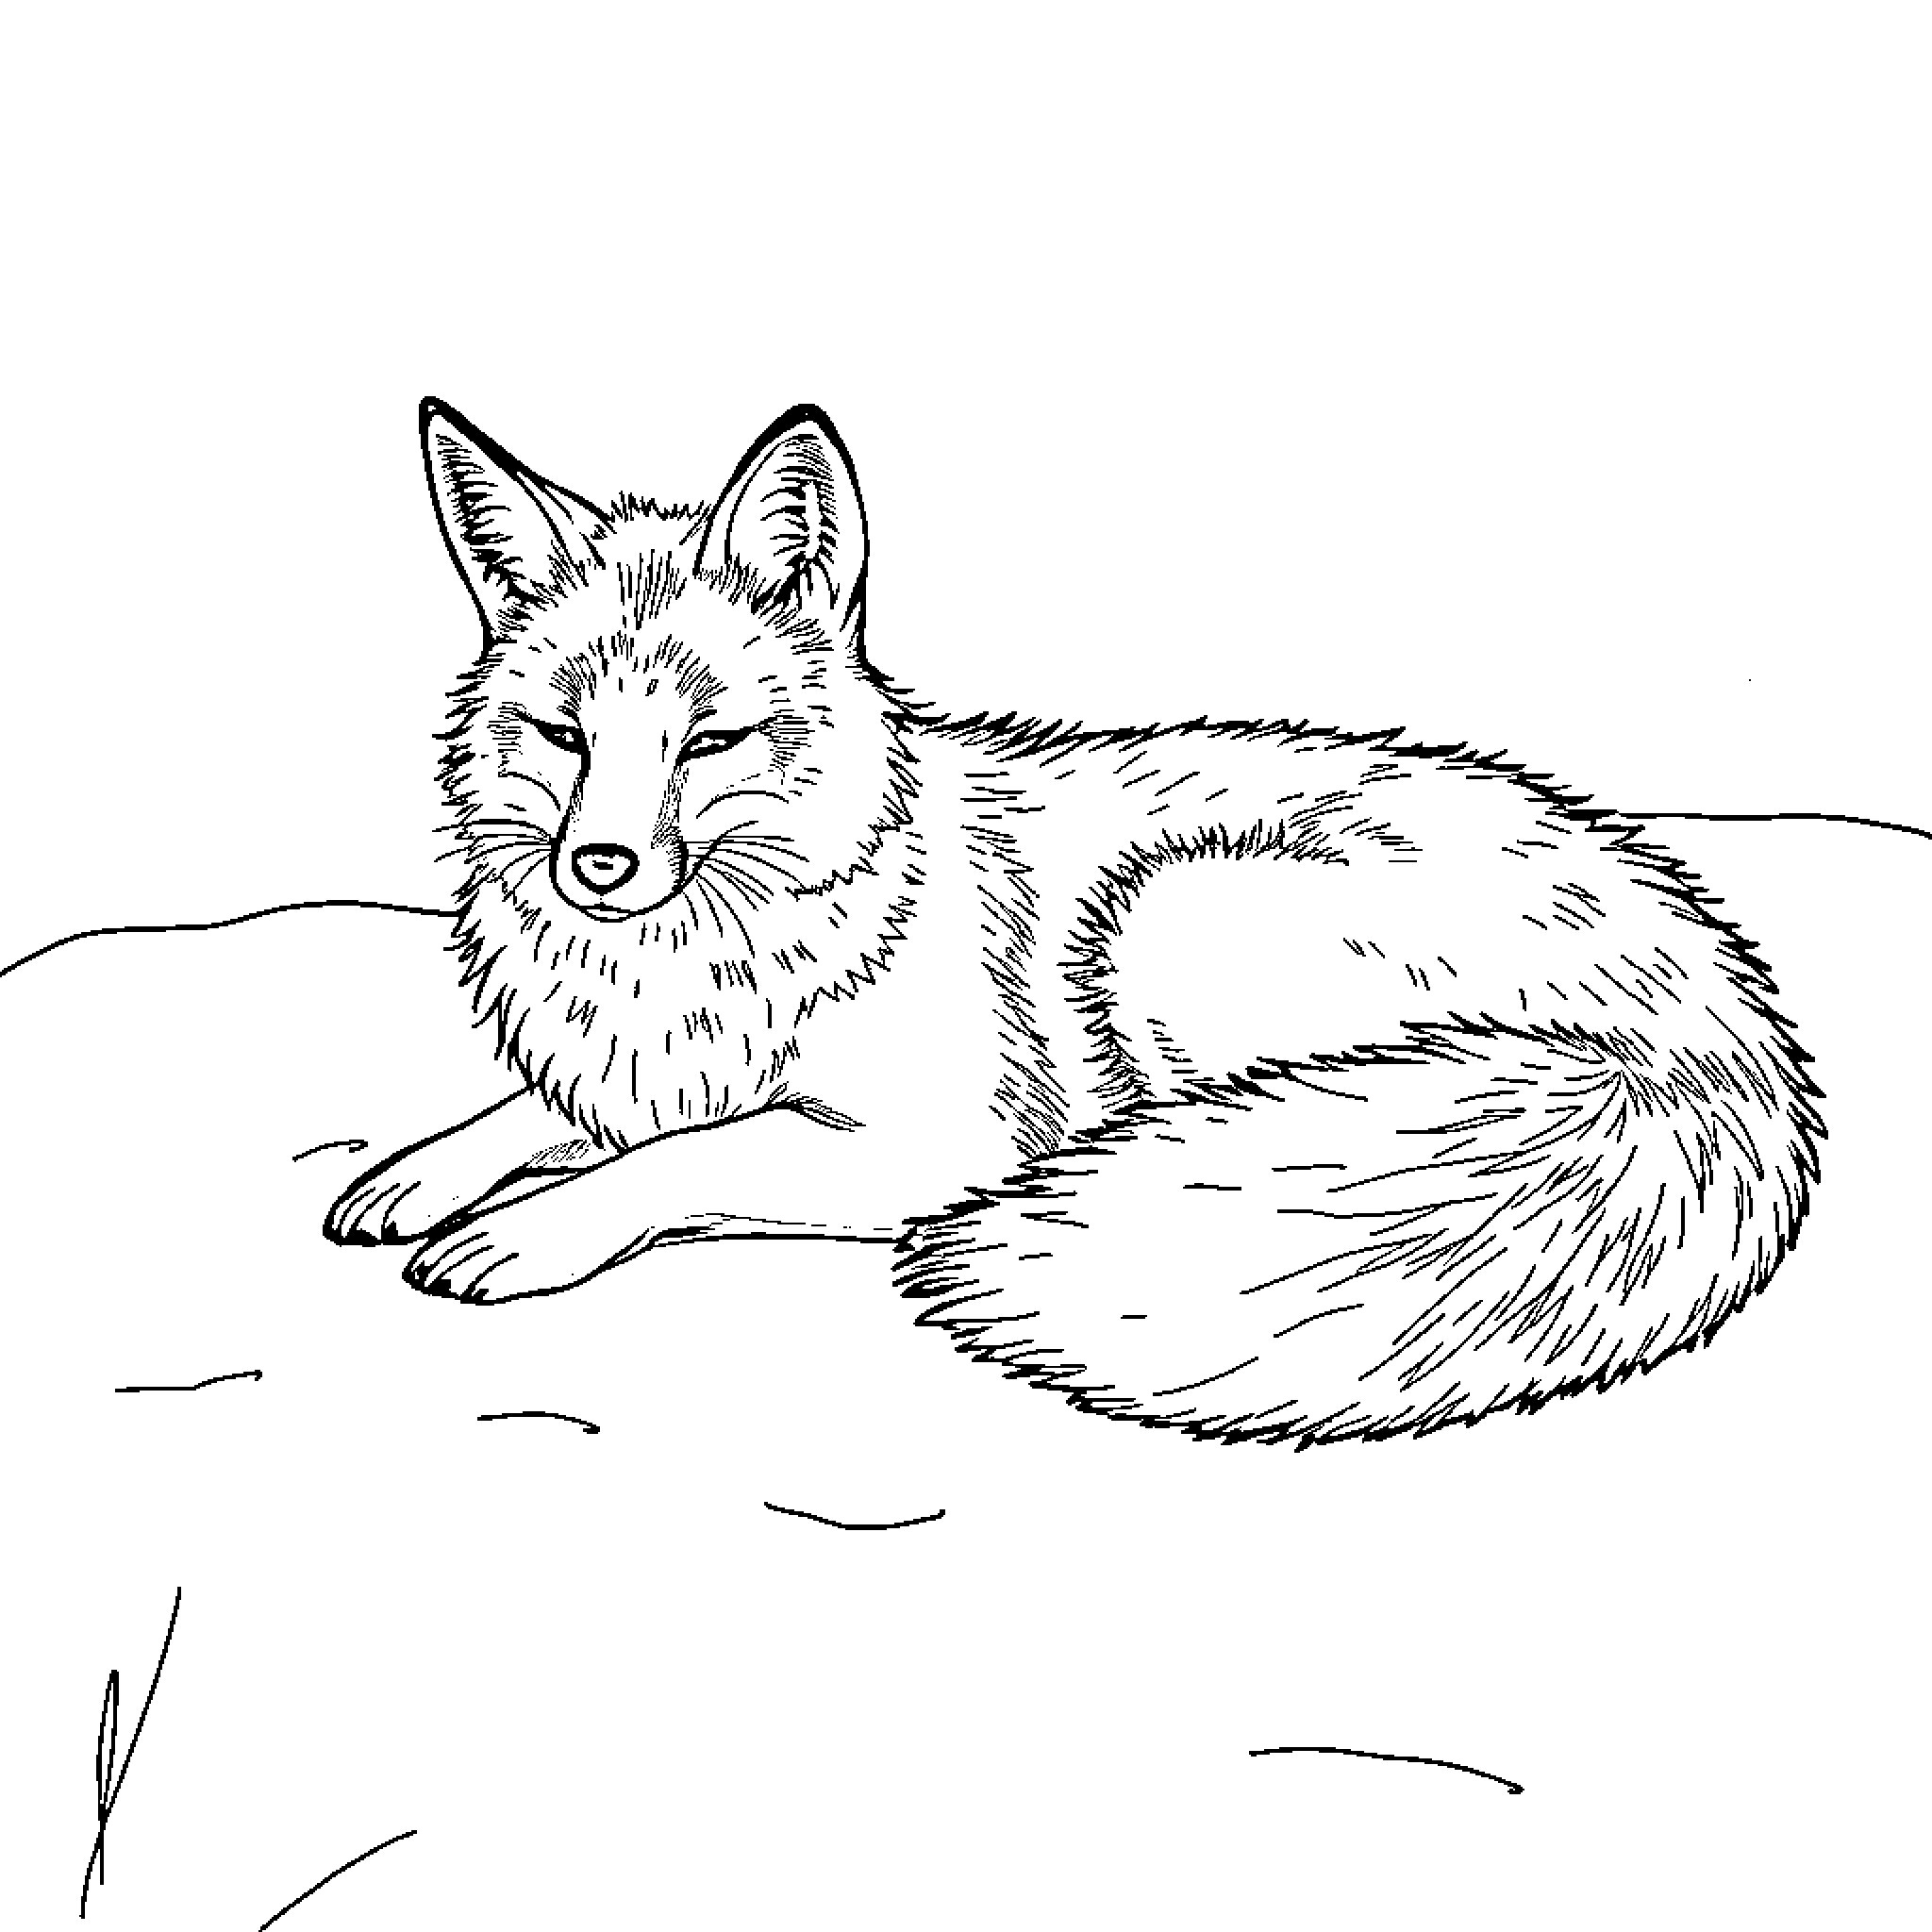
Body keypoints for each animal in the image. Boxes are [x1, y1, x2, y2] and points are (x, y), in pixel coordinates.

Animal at [323, 397, 1823, 1447]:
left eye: (710, 742)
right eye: (564, 737)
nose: (600, 867)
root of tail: (1707, 1017)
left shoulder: (927, 1141)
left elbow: (682, 1159)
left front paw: (529, 1227)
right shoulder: (634, 1065)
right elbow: (549, 1113)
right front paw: (423, 1172)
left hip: (1174, 922)